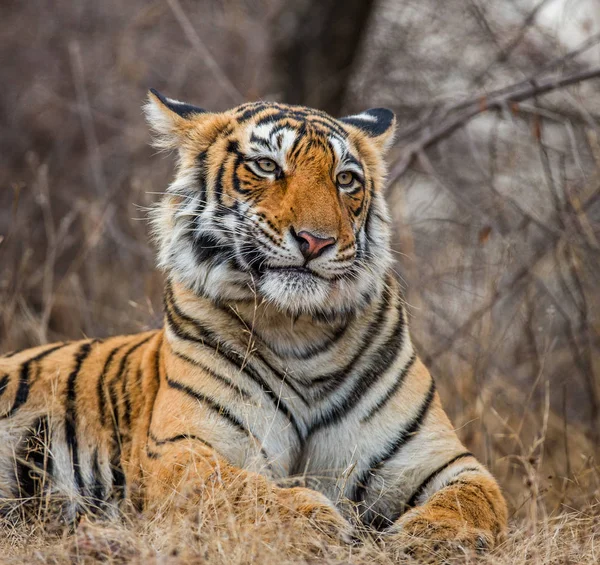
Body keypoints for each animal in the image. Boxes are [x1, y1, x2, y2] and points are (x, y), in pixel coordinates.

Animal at [0, 90, 506, 552]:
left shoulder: (440, 458)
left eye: (345, 179)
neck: (300, 331)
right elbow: (236, 490)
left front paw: (433, 537)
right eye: (266, 166)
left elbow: (478, 498)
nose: (315, 241)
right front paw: (315, 523)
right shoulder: (182, 446)